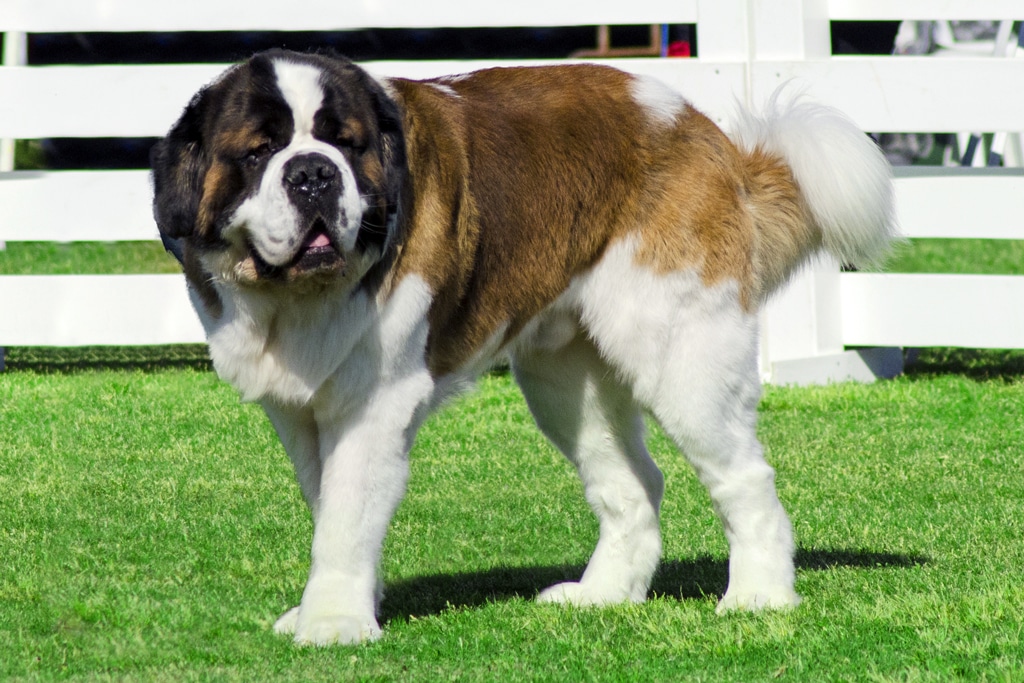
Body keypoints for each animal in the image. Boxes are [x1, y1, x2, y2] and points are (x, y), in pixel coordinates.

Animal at [148, 49, 892, 647]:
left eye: (347, 145)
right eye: (257, 153)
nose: (311, 174)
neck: (295, 296)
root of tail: (700, 130)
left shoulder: (373, 406)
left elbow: (346, 514)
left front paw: (331, 624)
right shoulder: (298, 412)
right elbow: (330, 503)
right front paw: (337, 607)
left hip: (681, 351)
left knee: (745, 475)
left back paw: (759, 596)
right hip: (563, 379)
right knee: (632, 481)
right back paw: (602, 595)